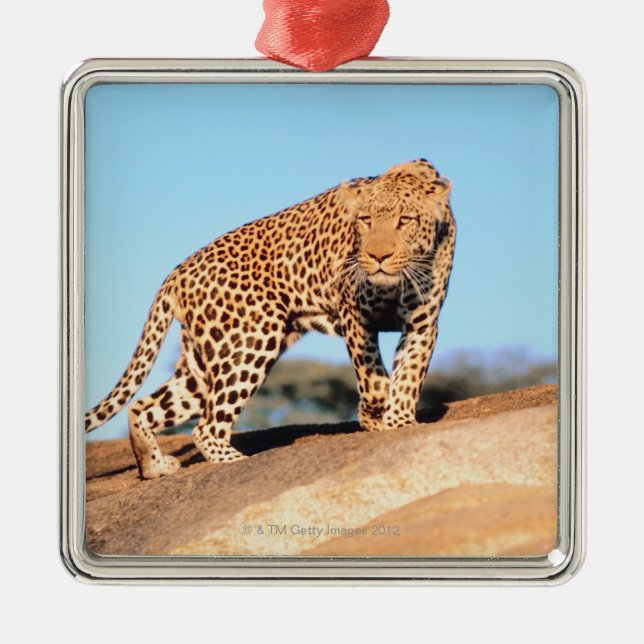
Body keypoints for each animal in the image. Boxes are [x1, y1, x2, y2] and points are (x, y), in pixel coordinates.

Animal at [85, 159, 456, 479]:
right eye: (364, 220)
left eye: (404, 220)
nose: (377, 256)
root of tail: (176, 273)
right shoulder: (356, 313)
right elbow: (372, 376)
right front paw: (374, 412)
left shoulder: (422, 323)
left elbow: (409, 375)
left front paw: (400, 422)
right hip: (252, 339)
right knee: (205, 427)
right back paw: (236, 461)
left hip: (202, 363)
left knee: (142, 407)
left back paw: (155, 467)